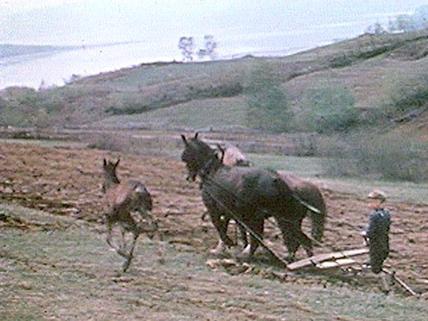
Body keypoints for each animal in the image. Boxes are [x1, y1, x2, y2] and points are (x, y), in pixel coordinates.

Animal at [181, 132, 314, 260]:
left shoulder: (213, 209)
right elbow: (227, 228)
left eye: (185, 155)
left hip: (261, 217)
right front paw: (225, 247)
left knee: (262, 238)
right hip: (283, 218)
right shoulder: (229, 212)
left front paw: (228, 244)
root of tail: (277, 181)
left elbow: (219, 227)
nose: (189, 177)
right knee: (300, 239)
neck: (213, 172)